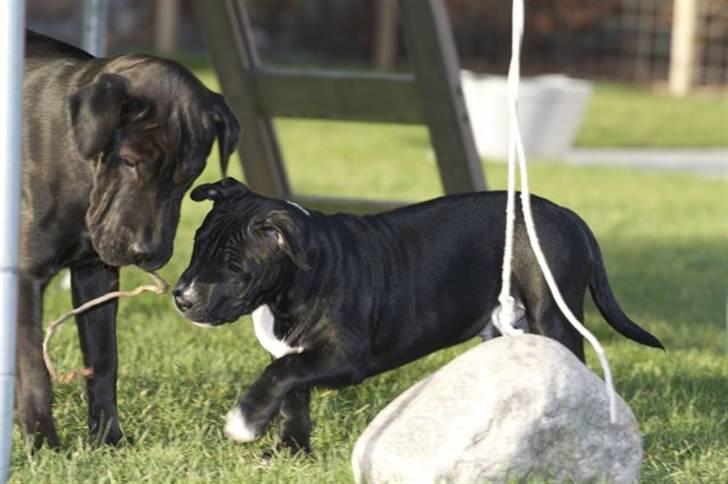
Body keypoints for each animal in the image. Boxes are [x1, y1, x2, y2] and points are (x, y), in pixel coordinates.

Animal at [18, 31, 239, 450]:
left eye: (188, 176)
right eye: (132, 162)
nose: (146, 252)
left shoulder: (97, 276)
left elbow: (104, 360)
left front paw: (109, 438)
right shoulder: (23, 276)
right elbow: (33, 367)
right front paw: (43, 442)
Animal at [173, 177, 664, 454]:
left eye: (235, 266)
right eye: (197, 246)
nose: (182, 297)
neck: (294, 283)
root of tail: (566, 215)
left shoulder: (343, 357)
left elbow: (280, 376)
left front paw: (244, 422)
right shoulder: (296, 353)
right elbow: (292, 393)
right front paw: (290, 453)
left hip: (552, 312)